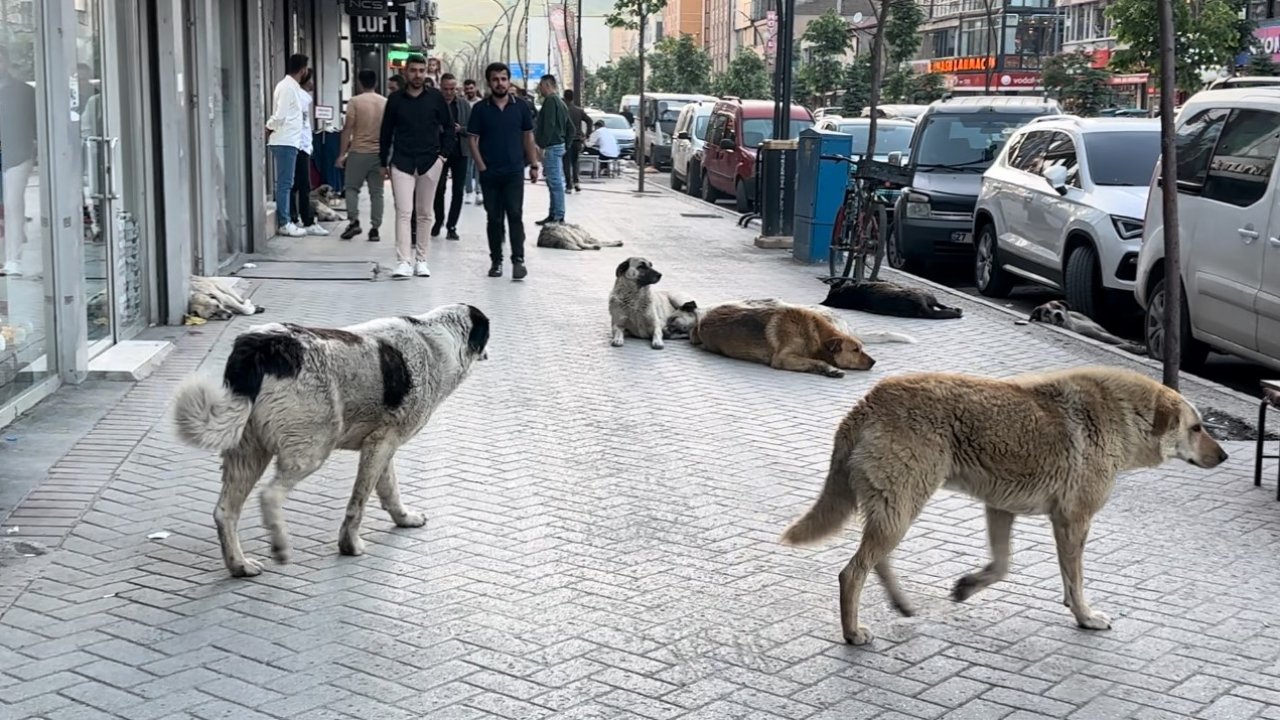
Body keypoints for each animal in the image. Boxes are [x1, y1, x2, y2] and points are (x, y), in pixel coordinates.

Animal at [170, 302, 488, 576]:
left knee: (225, 512)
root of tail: (261, 346)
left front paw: (403, 518)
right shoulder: (382, 444)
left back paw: (239, 565)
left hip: (248, 452)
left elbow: (389, 489)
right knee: (270, 495)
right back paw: (280, 546)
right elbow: (359, 502)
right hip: (312, 448)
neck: (435, 340)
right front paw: (349, 545)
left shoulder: (381, 443)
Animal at [778, 363, 1228, 645]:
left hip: (897, 509)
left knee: (876, 561)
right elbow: (1075, 580)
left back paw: (900, 603)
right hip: (902, 507)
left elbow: (1002, 566)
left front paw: (968, 586)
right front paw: (1084, 616)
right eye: (1197, 428)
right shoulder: (1073, 520)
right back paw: (852, 633)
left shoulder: (1001, 509)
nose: (1224, 457)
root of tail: (868, 401)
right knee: (852, 573)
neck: (1124, 415)